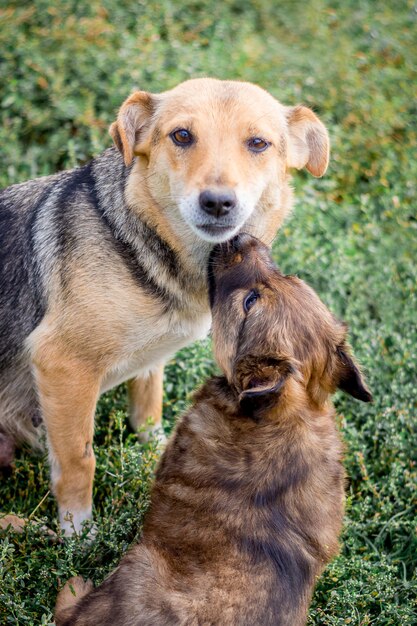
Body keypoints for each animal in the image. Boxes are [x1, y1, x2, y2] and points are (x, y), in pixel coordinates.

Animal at [0, 75, 328, 528]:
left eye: (258, 143)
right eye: (182, 136)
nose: (217, 202)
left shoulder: (150, 363)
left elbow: (148, 413)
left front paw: (156, 458)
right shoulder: (61, 364)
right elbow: (78, 461)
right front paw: (78, 533)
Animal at [53, 232, 368, 620]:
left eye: (250, 301)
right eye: (291, 278)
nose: (241, 236)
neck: (290, 416)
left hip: (138, 564)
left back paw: (75, 584)